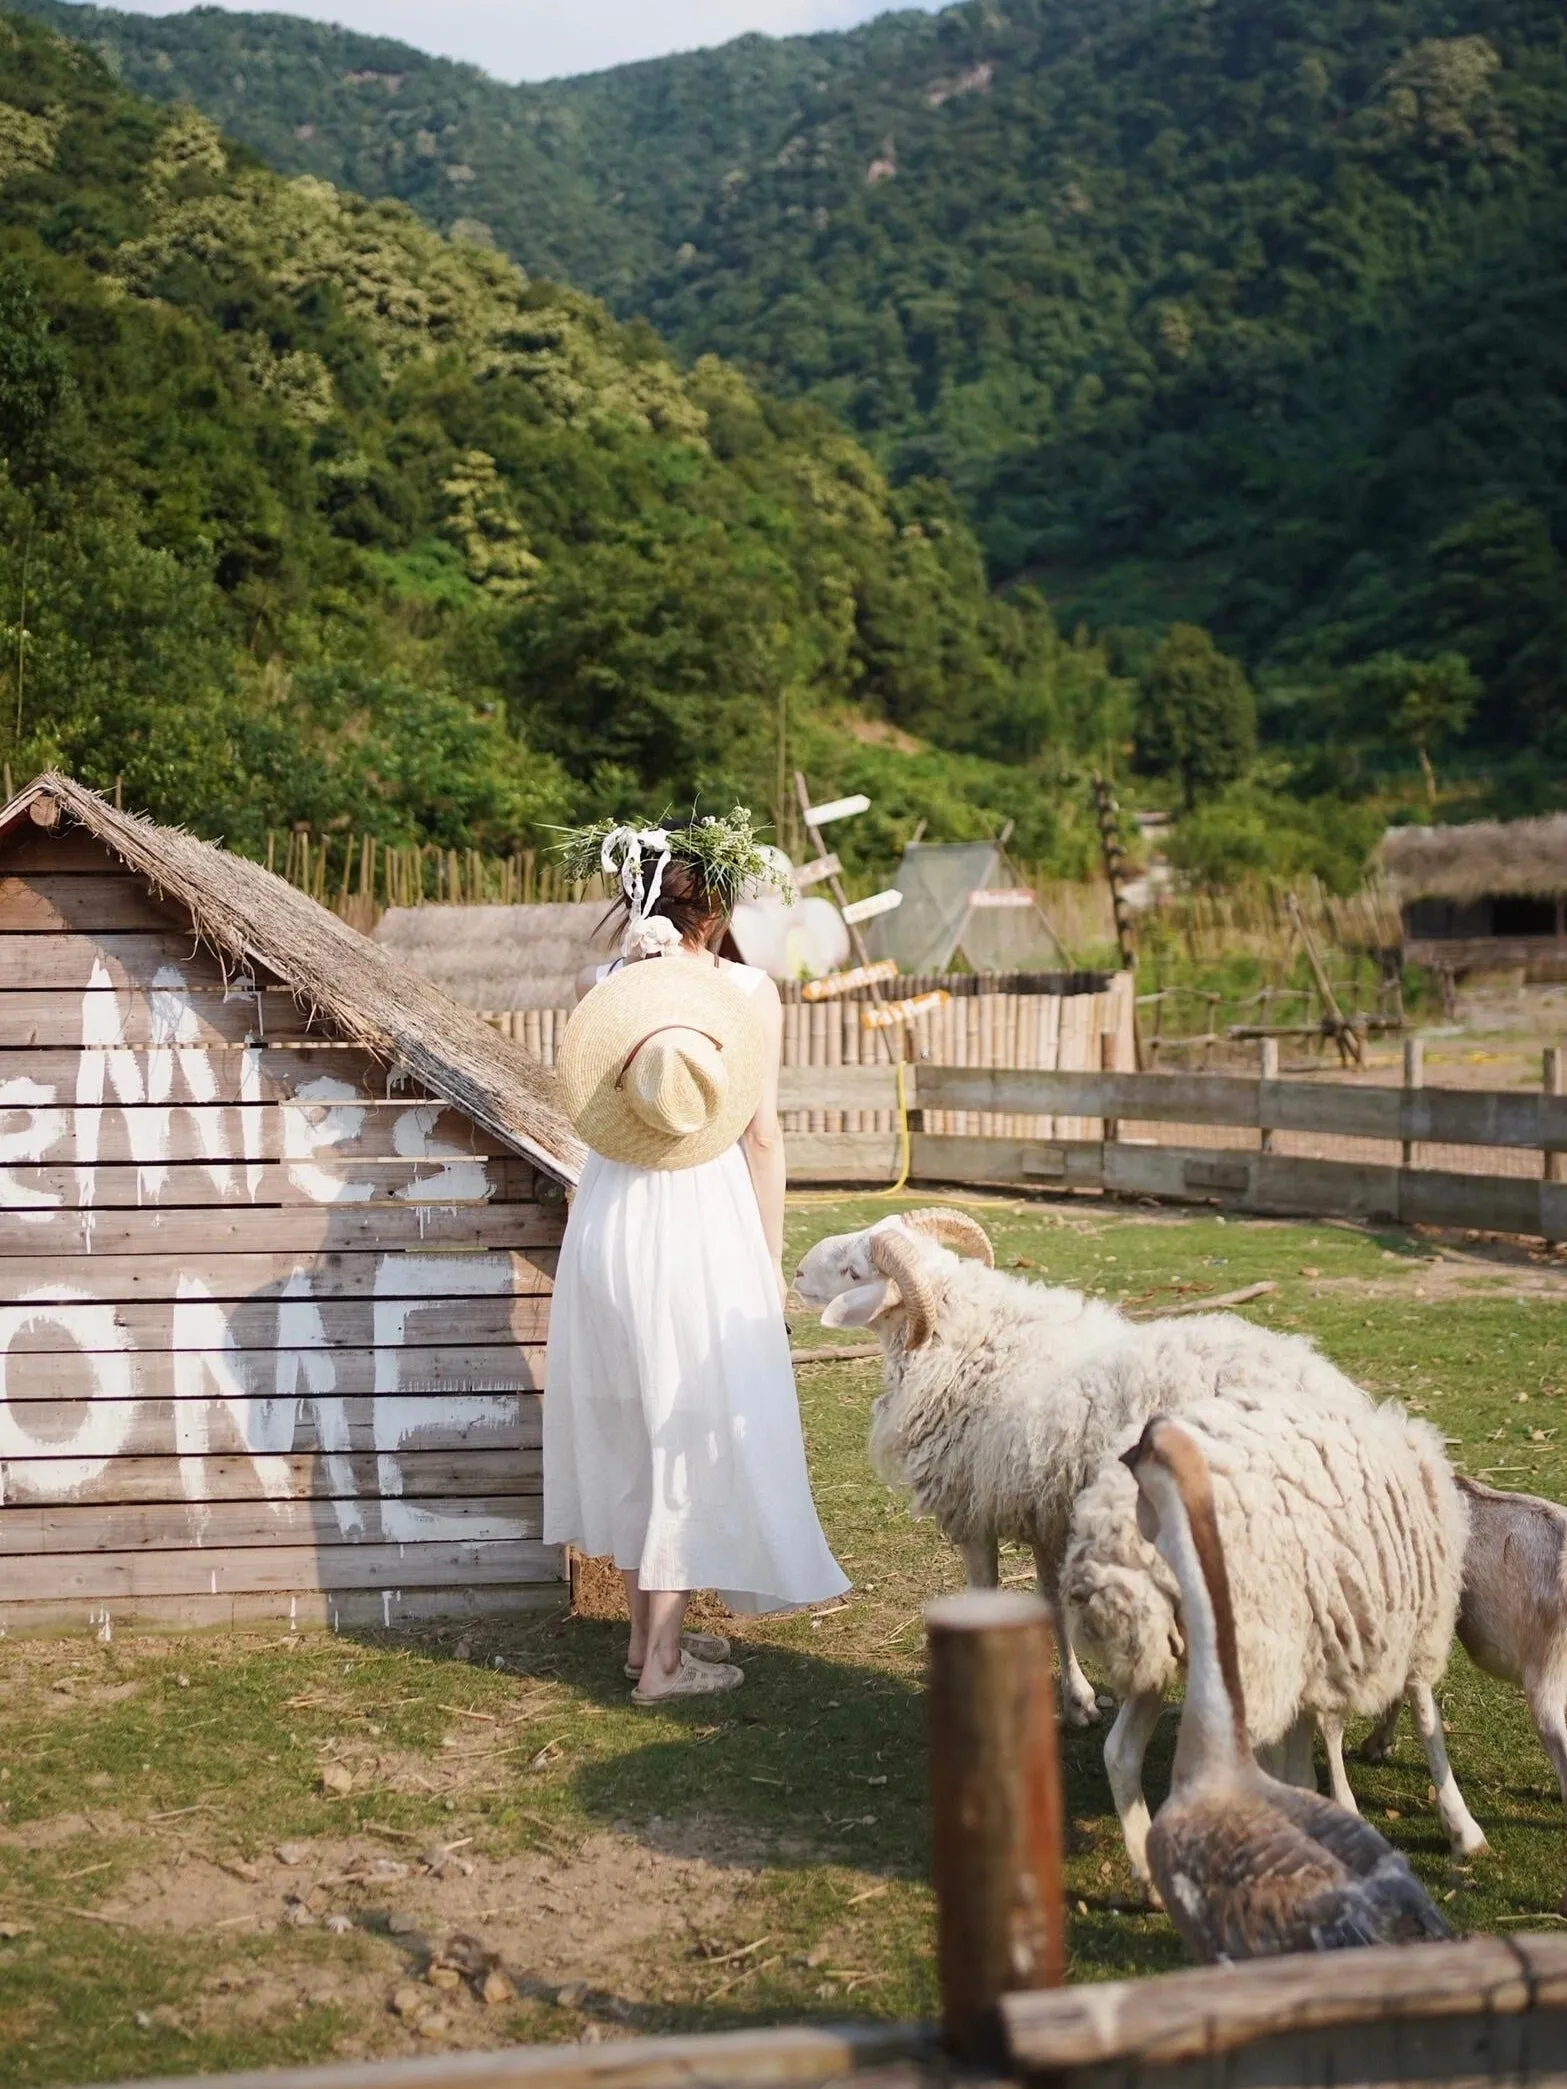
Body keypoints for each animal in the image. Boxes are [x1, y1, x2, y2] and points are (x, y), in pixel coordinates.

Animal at [1069, 1387, 1487, 1880]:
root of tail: (1114, 1547)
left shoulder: (1314, 1654)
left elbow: (1306, 1748)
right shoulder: (1418, 1627)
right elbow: (1426, 1717)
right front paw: (1461, 1827)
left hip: (1156, 1654)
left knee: (1120, 1754)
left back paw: (1149, 1876)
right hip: (1245, 1654)